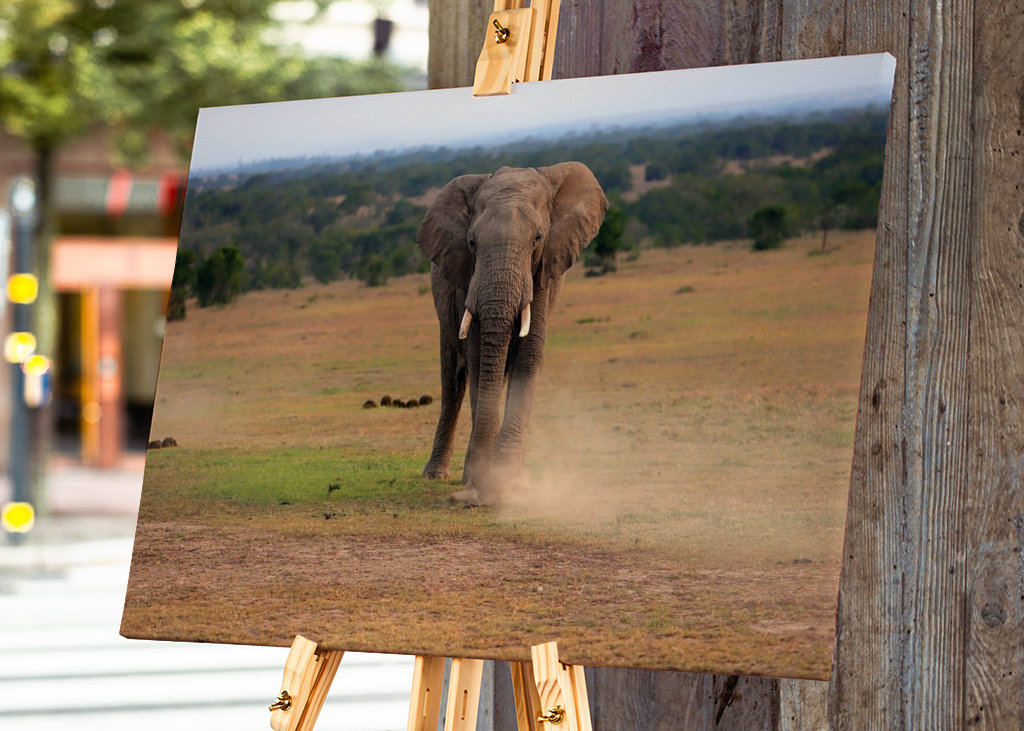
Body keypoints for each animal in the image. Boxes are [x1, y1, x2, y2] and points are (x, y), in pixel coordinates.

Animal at [418, 162, 608, 505]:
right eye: (472, 243)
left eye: (538, 238)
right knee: (452, 383)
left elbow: (529, 357)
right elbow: (479, 361)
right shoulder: (467, 282)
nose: (480, 488)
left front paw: (511, 483)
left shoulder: (544, 273)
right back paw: (437, 474)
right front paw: (480, 481)